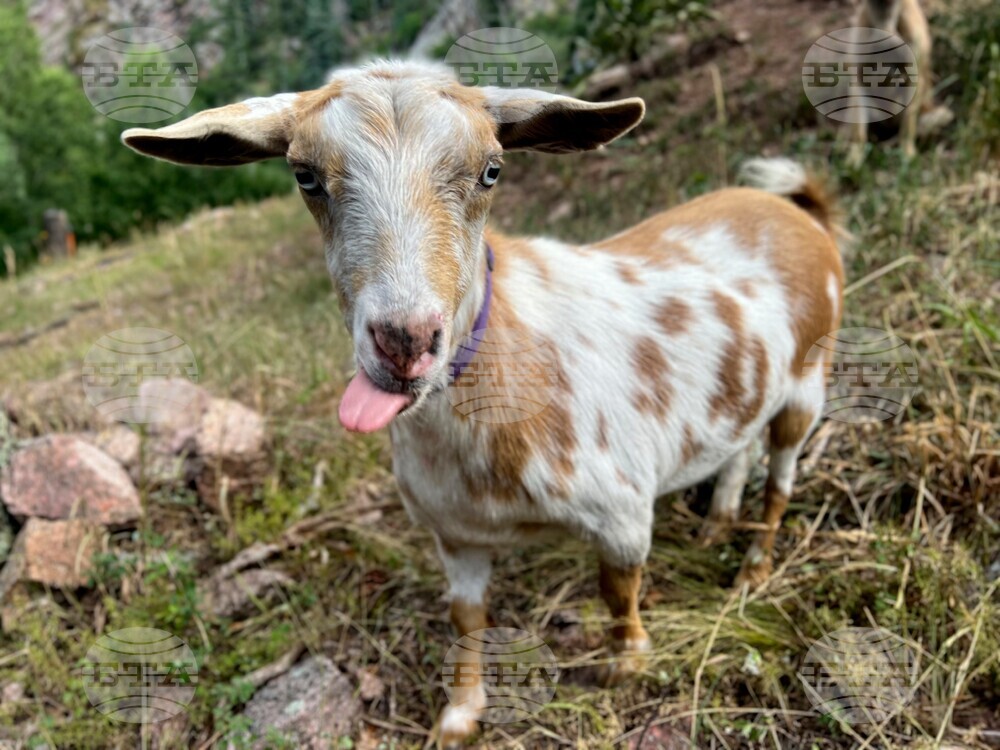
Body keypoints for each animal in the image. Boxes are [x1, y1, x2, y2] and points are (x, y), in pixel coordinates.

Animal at [123, 61, 844, 747]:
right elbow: (465, 616)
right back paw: (718, 523)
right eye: (305, 177)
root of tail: (797, 209)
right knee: (740, 448)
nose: (405, 340)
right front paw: (460, 714)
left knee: (781, 477)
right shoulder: (456, 531)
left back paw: (752, 570)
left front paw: (627, 664)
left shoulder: (621, 508)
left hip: (809, 378)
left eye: (491, 171)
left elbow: (617, 593)